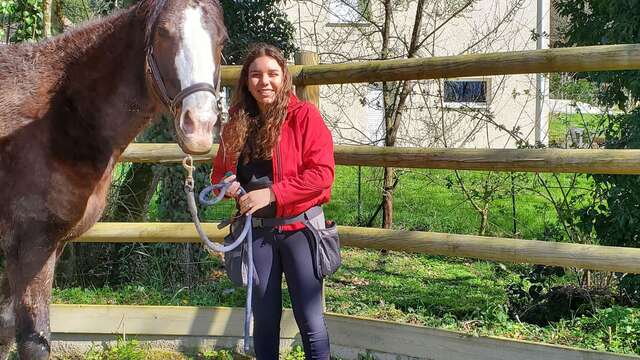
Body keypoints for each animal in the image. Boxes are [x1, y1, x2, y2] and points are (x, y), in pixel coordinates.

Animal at [0, 0, 229, 358]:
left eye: (222, 40)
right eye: (163, 33)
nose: (200, 126)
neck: (56, 119)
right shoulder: (30, 245)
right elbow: (32, 340)